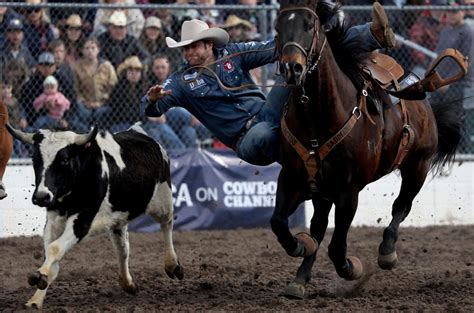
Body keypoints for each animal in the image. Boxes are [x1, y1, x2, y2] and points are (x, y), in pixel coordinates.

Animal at [6, 123, 183, 308]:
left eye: (64, 159)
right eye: (35, 160)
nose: (41, 196)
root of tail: (139, 132)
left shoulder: (83, 221)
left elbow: (55, 248)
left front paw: (40, 274)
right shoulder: (53, 221)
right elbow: (51, 254)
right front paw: (36, 297)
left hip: (163, 199)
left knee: (167, 225)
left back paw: (172, 265)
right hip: (118, 220)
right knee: (122, 250)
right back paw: (128, 283)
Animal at [272, 0, 464, 298]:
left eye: (310, 25)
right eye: (278, 26)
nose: (292, 68)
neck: (318, 118)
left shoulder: (348, 190)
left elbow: (337, 246)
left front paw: (351, 269)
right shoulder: (292, 178)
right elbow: (280, 223)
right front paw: (301, 247)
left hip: (418, 165)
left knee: (401, 206)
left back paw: (387, 252)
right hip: (323, 190)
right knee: (318, 226)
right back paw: (300, 278)